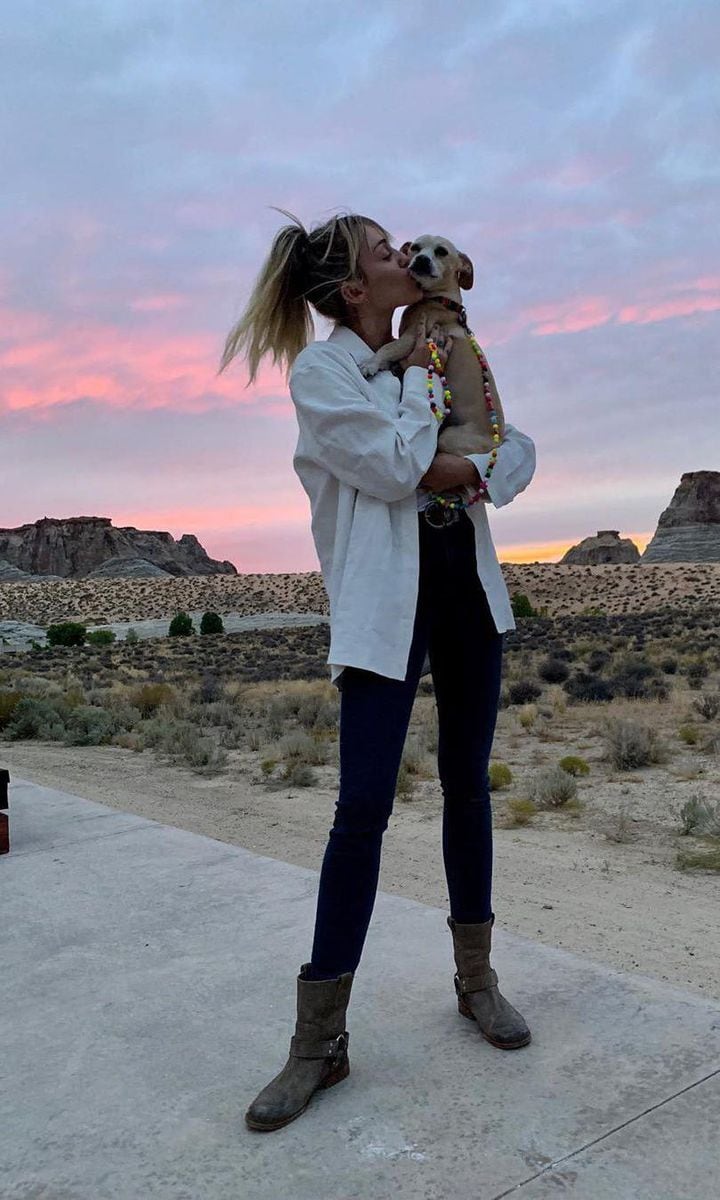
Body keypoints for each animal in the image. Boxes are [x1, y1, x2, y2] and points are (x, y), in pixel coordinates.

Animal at [360, 234, 506, 453]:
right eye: (415, 248)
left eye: (442, 252)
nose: (421, 259)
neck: (440, 300)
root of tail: (497, 442)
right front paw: (384, 365)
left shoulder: (413, 336)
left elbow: (387, 348)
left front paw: (370, 364)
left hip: (449, 438)